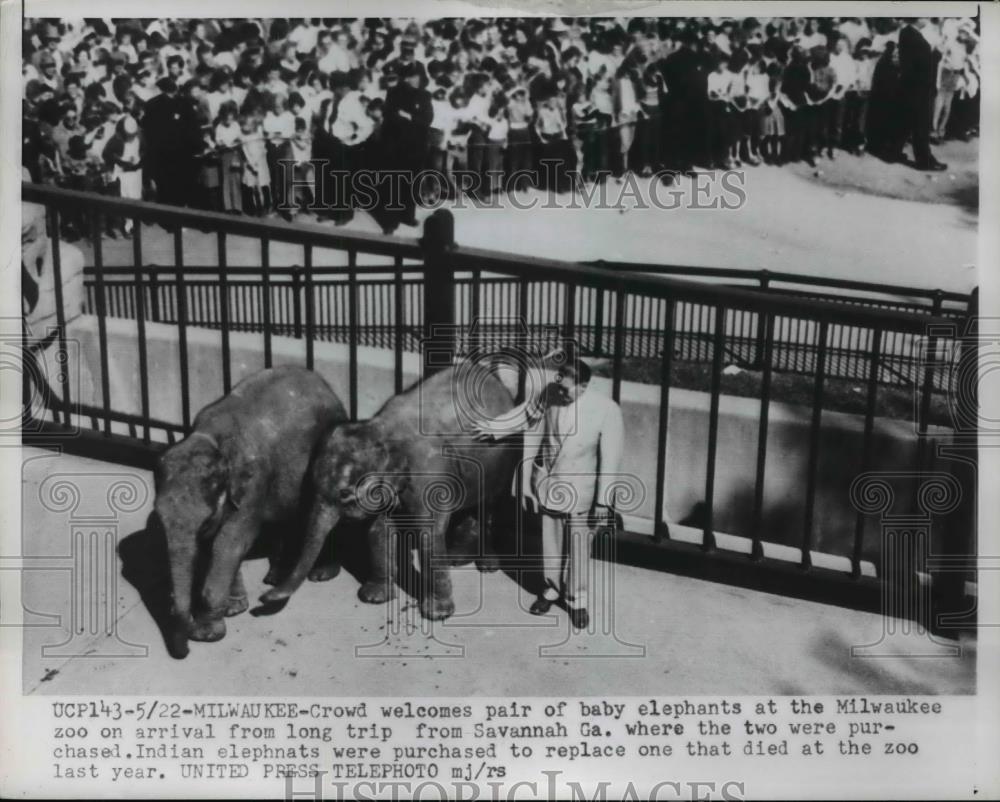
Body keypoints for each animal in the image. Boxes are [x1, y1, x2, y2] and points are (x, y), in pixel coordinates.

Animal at [153, 366, 348, 652]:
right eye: (158, 520)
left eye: (204, 521)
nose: (263, 601)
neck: (211, 439)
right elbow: (220, 546)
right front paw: (234, 609)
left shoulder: (253, 483)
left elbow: (228, 544)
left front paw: (206, 635)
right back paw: (275, 577)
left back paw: (320, 574)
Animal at [262, 362, 520, 620]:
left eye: (345, 495)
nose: (264, 596)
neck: (381, 429)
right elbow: (379, 530)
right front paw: (374, 598)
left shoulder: (429, 476)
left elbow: (429, 534)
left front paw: (437, 614)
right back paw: (456, 558)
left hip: (502, 460)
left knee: (488, 506)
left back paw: (487, 566)